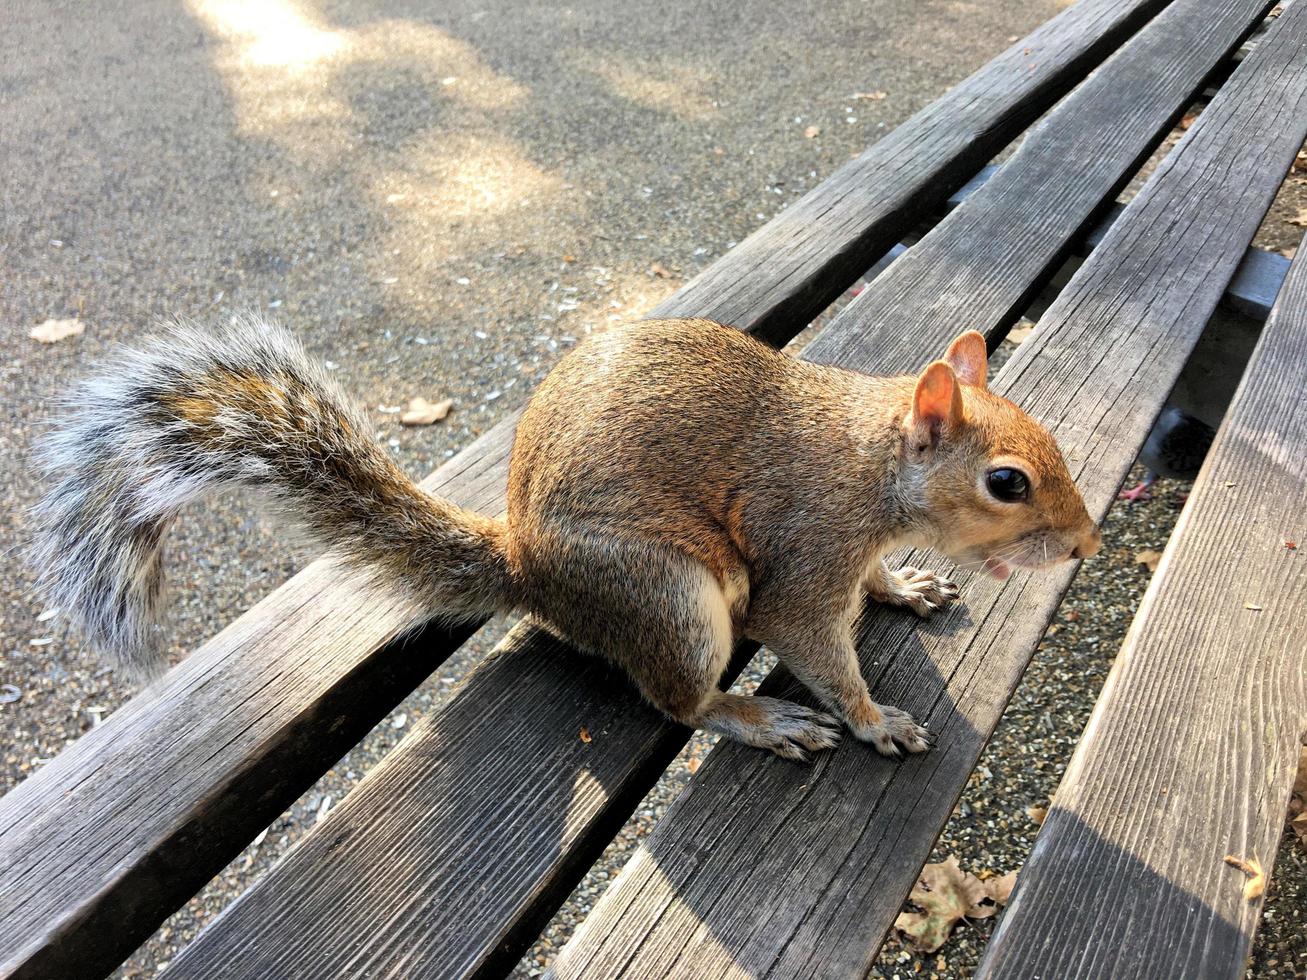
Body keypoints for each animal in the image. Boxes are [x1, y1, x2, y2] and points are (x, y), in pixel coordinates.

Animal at [30, 318, 1097, 763]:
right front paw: (875, 720)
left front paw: (905, 589)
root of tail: (528, 572)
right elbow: (814, 641)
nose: (1086, 544)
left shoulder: (850, 544)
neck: (872, 465)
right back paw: (754, 718)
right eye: (1006, 482)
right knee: (677, 701)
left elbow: (872, 582)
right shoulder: (806, 551)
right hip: (667, 596)